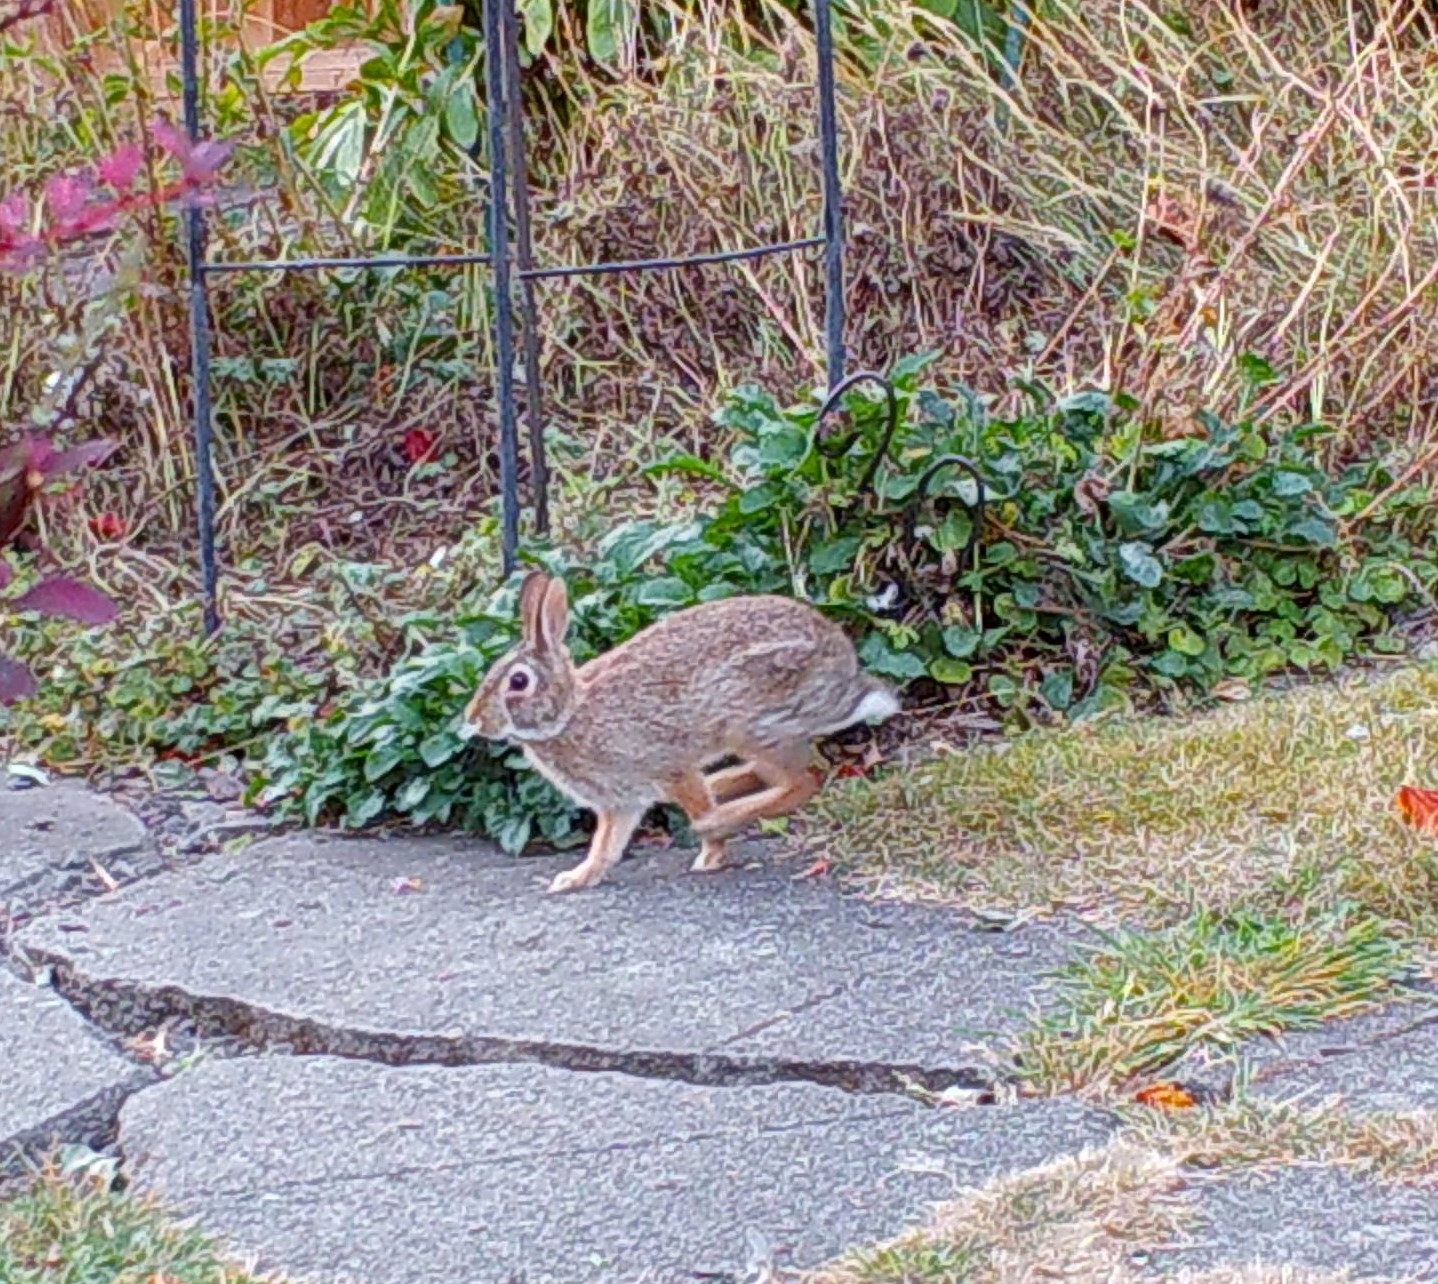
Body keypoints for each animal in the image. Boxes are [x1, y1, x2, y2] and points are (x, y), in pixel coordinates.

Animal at [463, 570, 900, 893]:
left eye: (518, 682)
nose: (474, 719)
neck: (570, 713)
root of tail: (843, 674)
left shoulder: (669, 766)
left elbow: (690, 802)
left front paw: (711, 856)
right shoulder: (620, 803)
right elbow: (605, 847)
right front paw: (574, 879)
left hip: (749, 721)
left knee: (804, 782)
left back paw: (720, 817)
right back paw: (723, 789)